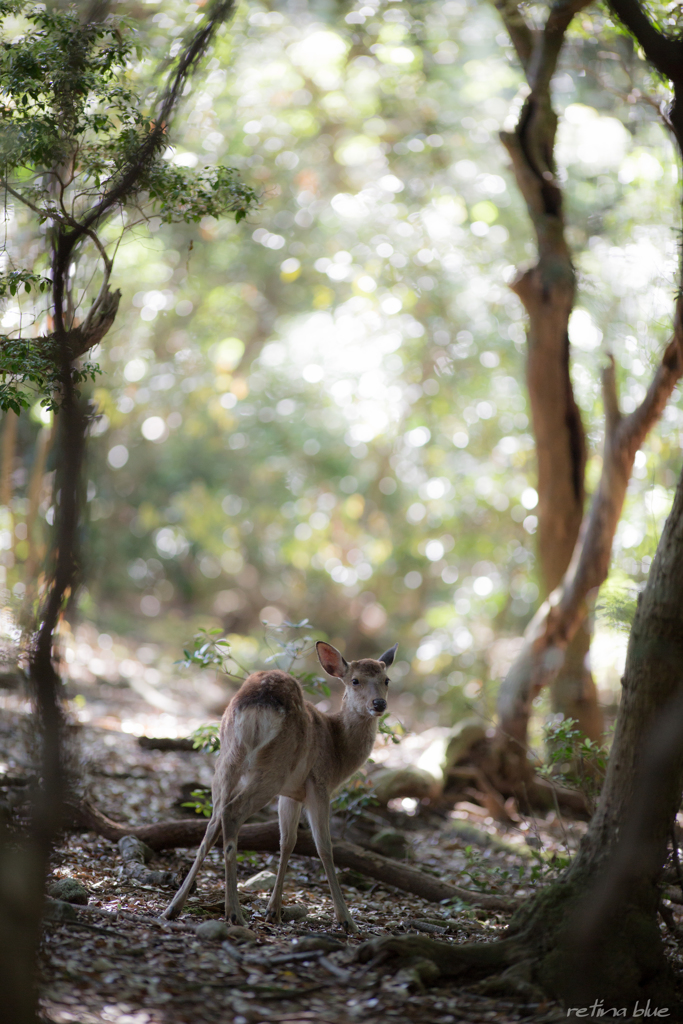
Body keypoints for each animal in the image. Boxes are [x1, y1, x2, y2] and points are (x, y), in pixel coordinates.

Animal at [162, 638, 397, 937]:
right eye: (355, 680)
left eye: (386, 679)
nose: (379, 703)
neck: (338, 751)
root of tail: (258, 703)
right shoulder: (318, 784)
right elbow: (324, 846)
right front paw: (347, 920)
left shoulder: (291, 793)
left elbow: (287, 841)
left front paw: (273, 911)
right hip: (273, 768)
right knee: (231, 813)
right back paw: (234, 914)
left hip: (226, 758)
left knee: (213, 822)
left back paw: (174, 907)